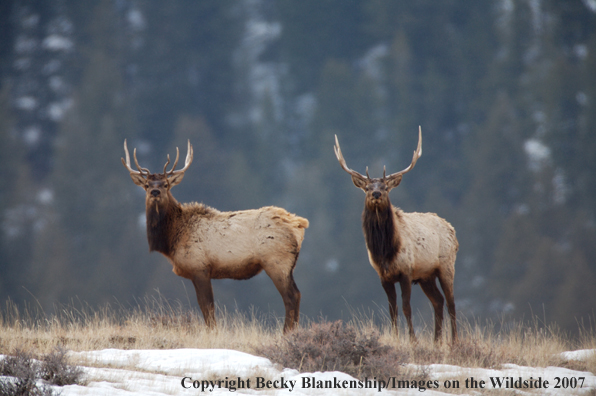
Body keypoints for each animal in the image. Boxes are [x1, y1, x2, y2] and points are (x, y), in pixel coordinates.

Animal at [120, 139, 308, 332]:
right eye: (147, 185)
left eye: (165, 184)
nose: (155, 192)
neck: (172, 238)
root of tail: (298, 224)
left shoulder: (199, 267)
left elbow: (207, 306)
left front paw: (213, 332)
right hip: (287, 265)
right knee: (297, 294)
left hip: (276, 261)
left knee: (291, 296)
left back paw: (286, 333)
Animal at [336, 127, 456, 344]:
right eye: (367, 188)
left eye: (385, 187)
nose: (376, 194)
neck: (386, 251)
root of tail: (452, 229)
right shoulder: (384, 276)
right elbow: (393, 310)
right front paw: (396, 338)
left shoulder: (406, 271)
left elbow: (407, 307)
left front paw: (413, 340)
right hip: (426, 275)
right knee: (438, 301)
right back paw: (437, 341)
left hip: (446, 265)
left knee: (451, 303)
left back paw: (454, 342)